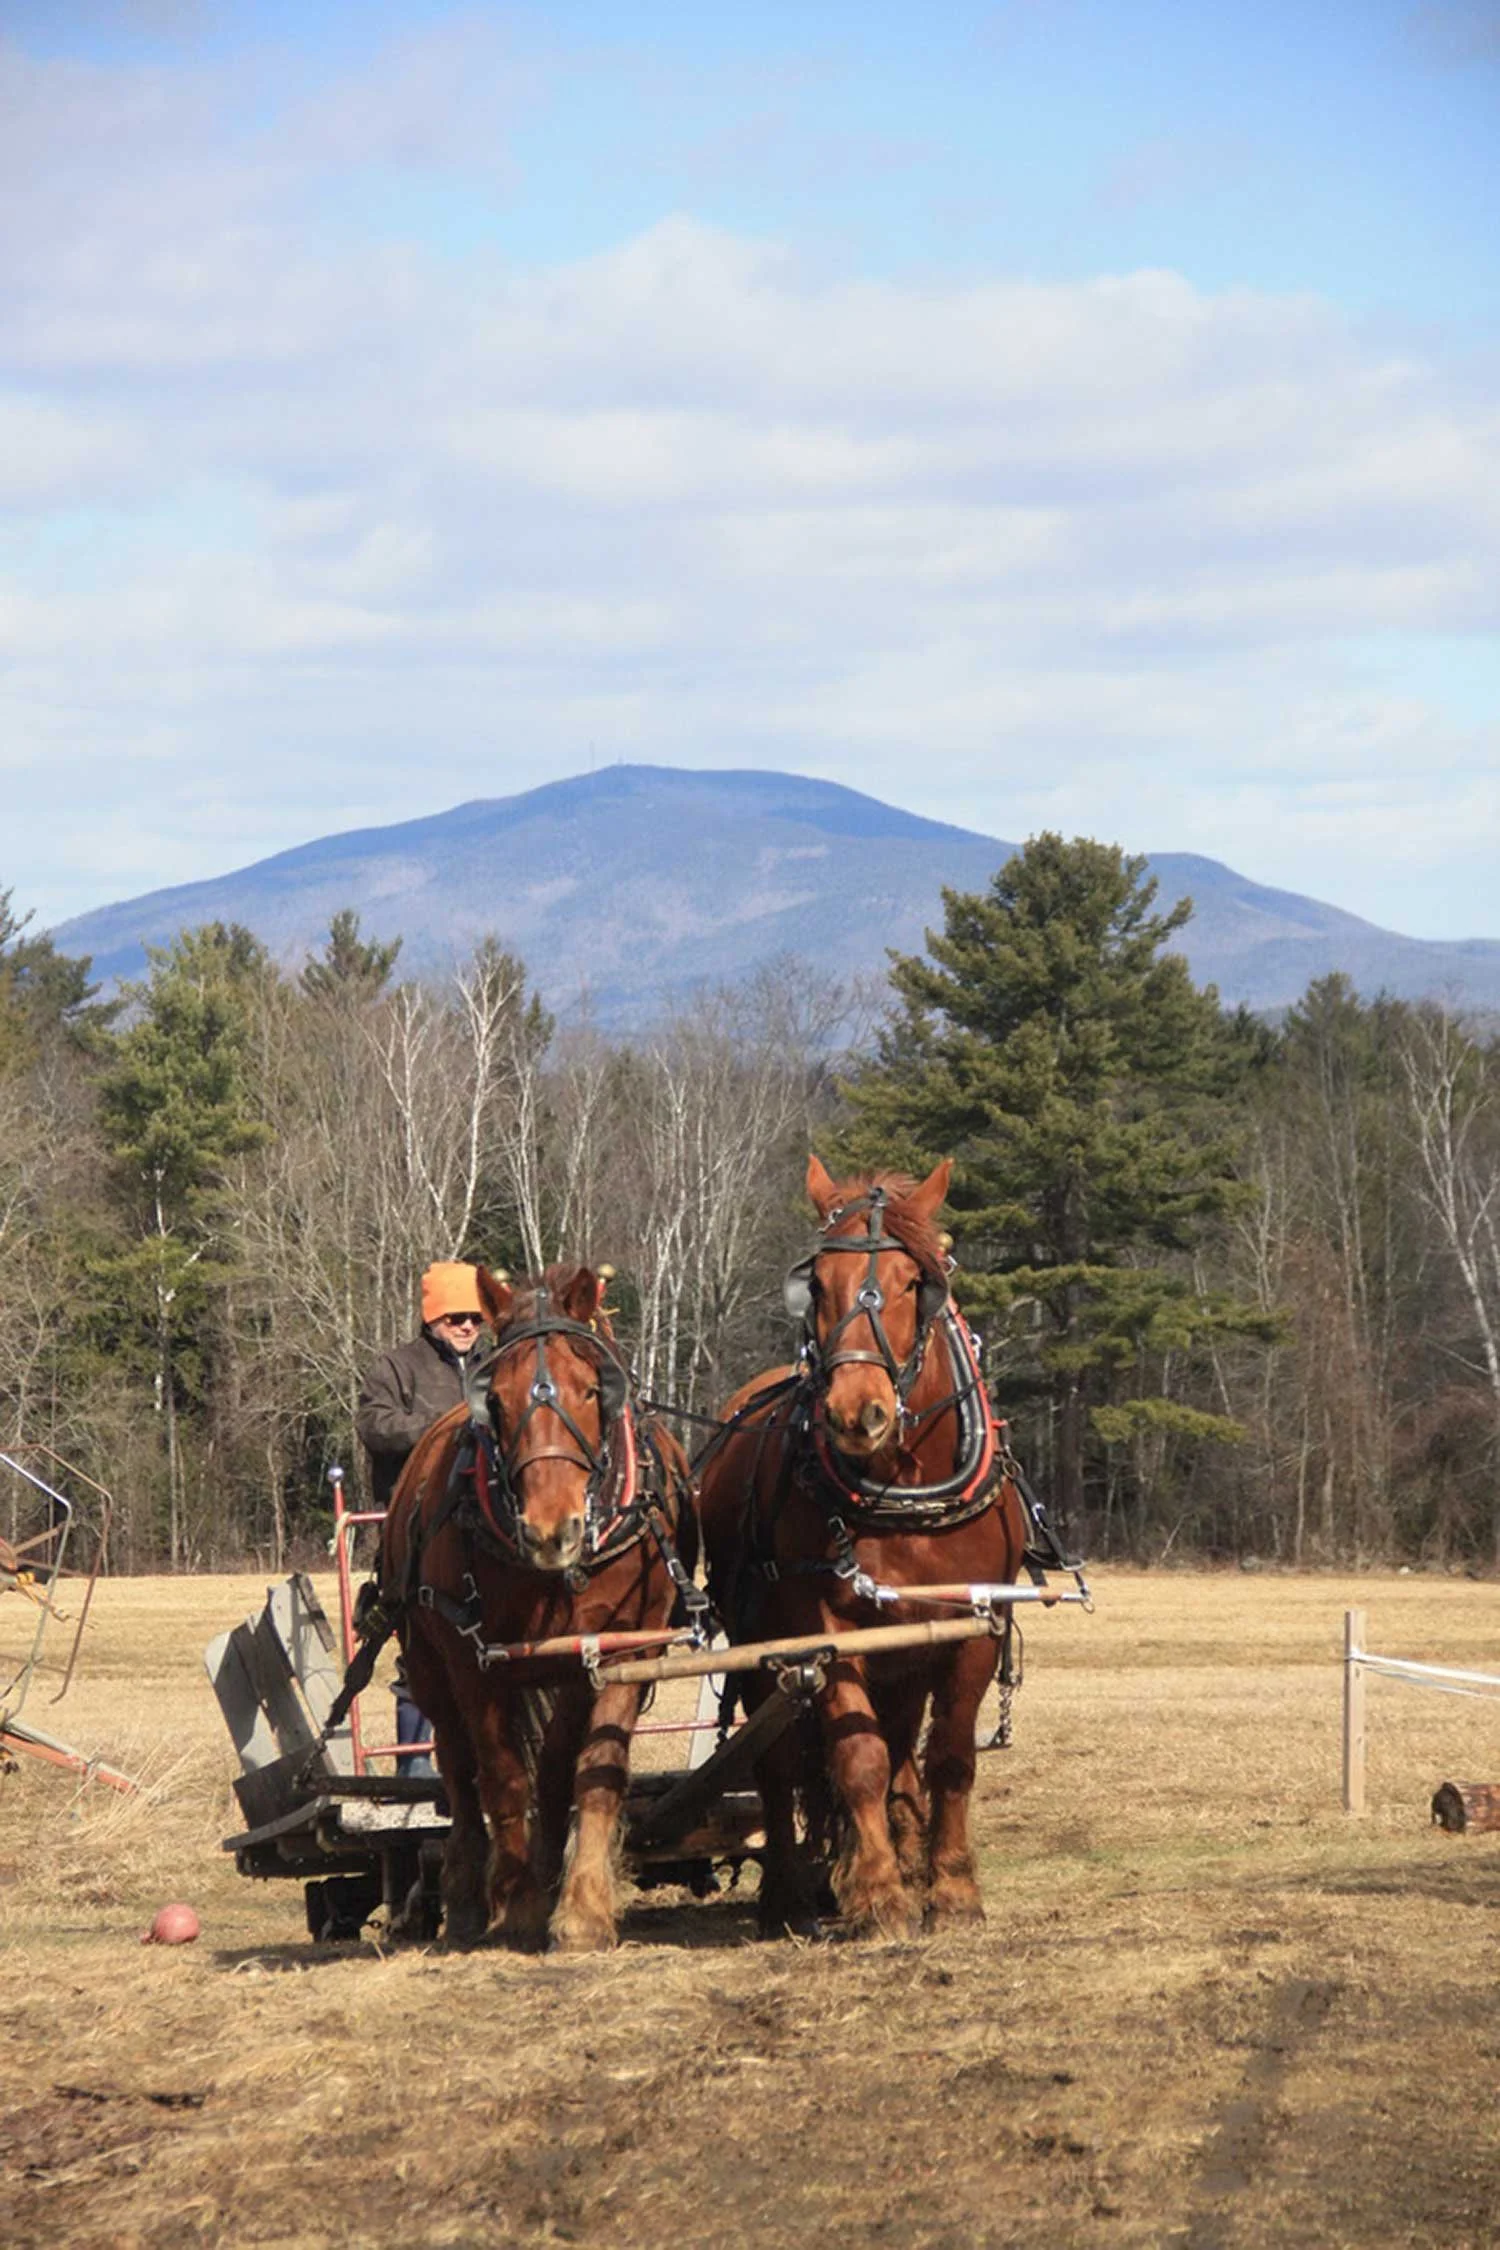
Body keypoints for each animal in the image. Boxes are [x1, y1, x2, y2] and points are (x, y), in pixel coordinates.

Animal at [379, 1261, 698, 1952]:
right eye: (495, 1400)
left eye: (592, 1390)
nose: (553, 1531)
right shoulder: (473, 1662)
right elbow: (502, 1777)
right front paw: (520, 1900)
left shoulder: (615, 1649)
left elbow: (589, 1771)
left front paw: (580, 1909)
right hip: (428, 1664)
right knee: (457, 1768)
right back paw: (469, 1895)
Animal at [699, 1155, 1031, 1940]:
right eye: (816, 1282)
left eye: (916, 1282)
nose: (858, 1413)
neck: (903, 1487)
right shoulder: (828, 1631)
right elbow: (858, 1760)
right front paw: (877, 1895)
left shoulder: (972, 1628)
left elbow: (948, 1759)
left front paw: (949, 1889)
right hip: (760, 1646)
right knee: (780, 1764)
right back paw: (788, 1892)